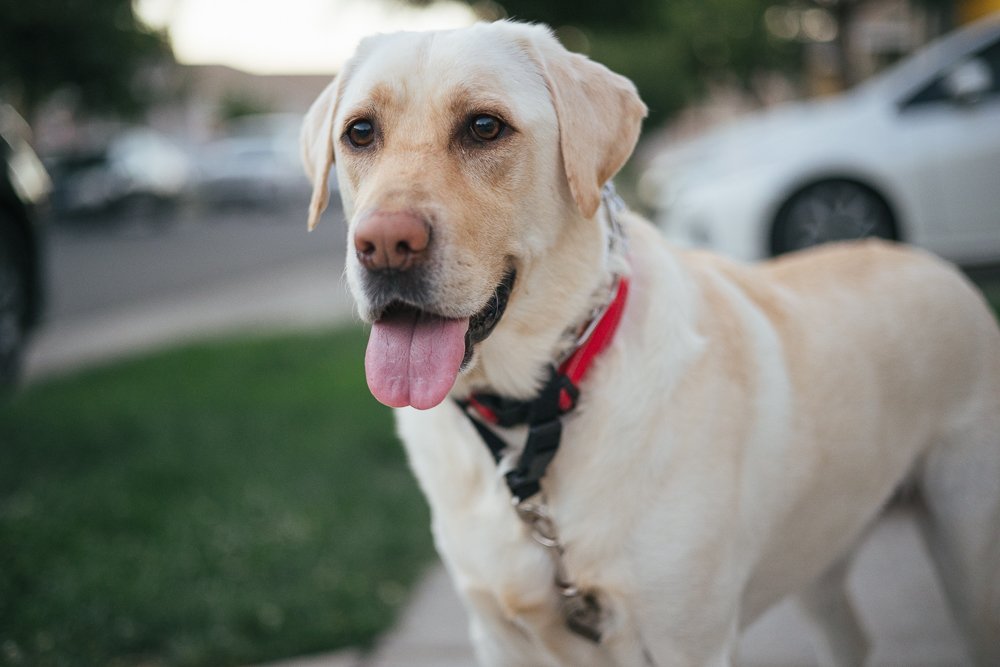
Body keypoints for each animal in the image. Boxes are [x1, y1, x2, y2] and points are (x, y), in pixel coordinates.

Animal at [302, 19, 1000, 667]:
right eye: (359, 133)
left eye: (484, 127)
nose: (383, 245)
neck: (537, 414)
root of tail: (929, 260)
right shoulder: (498, 635)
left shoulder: (689, 639)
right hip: (824, 541)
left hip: (967, 550)